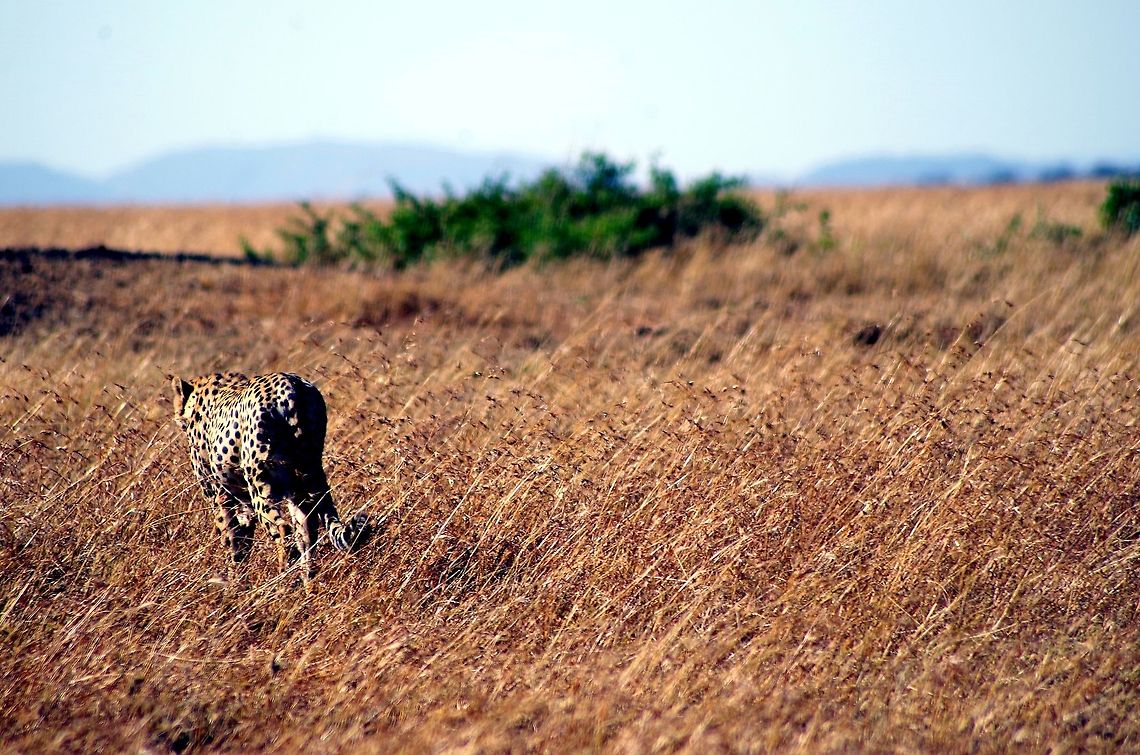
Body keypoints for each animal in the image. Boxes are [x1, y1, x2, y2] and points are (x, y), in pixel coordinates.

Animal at [172, 371, 371, 583]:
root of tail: (292, 385)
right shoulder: (244, 504)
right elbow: (243, 542)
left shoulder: (220, 496)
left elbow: (231, 540)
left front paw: (233, 581)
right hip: (303, 483)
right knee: (306, 537)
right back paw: (307, 584)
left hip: (261, 485)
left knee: (283, 530)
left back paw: (283, 580)